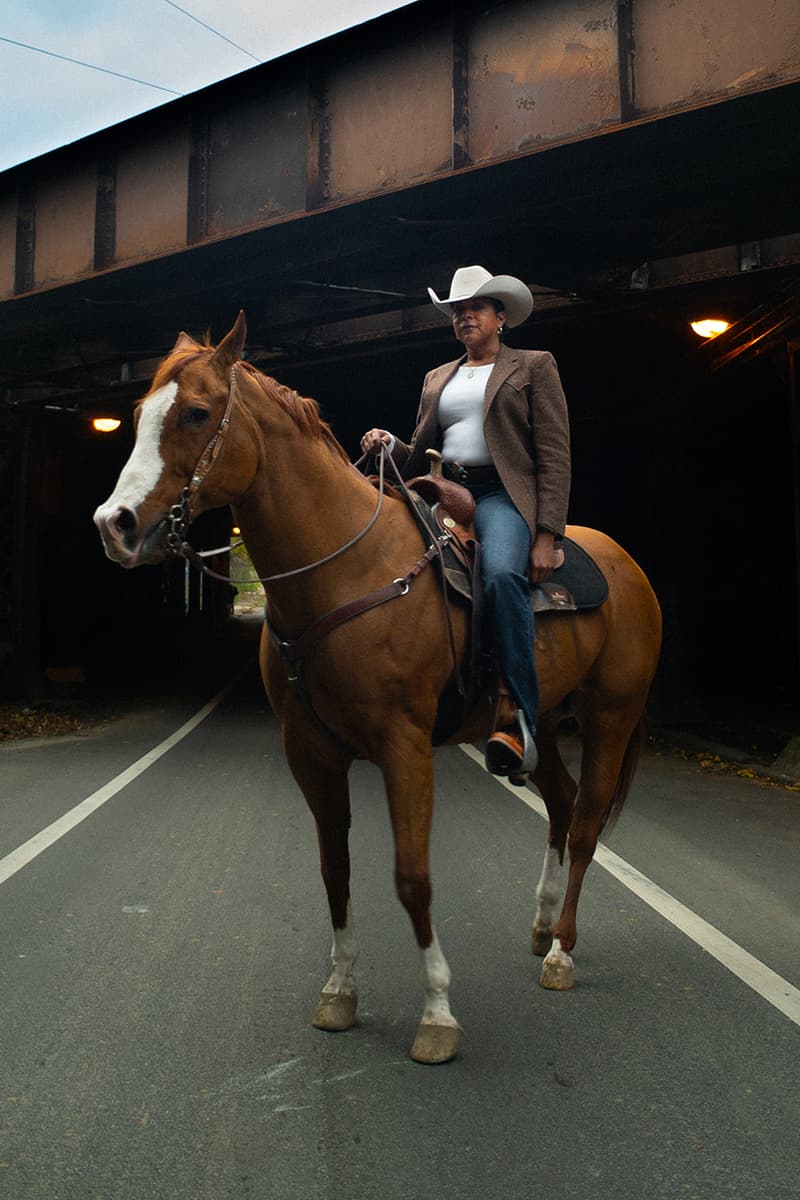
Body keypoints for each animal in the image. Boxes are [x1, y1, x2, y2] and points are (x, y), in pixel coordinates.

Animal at [94, 314, 662, 1065]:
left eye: (196, 412)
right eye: (137, 416)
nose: (114, 524)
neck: (346, 570)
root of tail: (627, 566)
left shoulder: (404, 748)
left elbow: (411, 877)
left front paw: (438, 1014)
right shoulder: (311, 752)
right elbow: (335, 870)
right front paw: (340, 991)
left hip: (610, 720)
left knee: (591, 819)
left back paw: (561, 953)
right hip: (540, 724)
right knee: (564, 806)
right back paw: (541, 927)